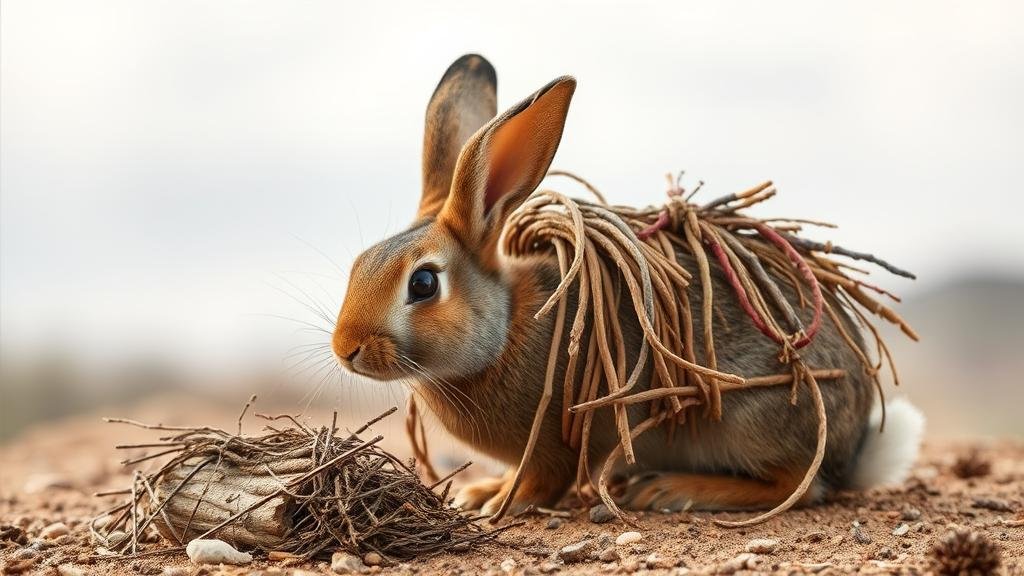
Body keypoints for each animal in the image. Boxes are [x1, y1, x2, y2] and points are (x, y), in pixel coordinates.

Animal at [331, 52, 925, 510]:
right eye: (358, 264)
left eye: (423, 285)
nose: (345, 348)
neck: (502, 329)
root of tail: (853, 449)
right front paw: (481, 492)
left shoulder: (562, 439)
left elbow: (544, 479)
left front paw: (497, 501)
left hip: (752, 417)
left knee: (800, 486)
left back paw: (670, 490)